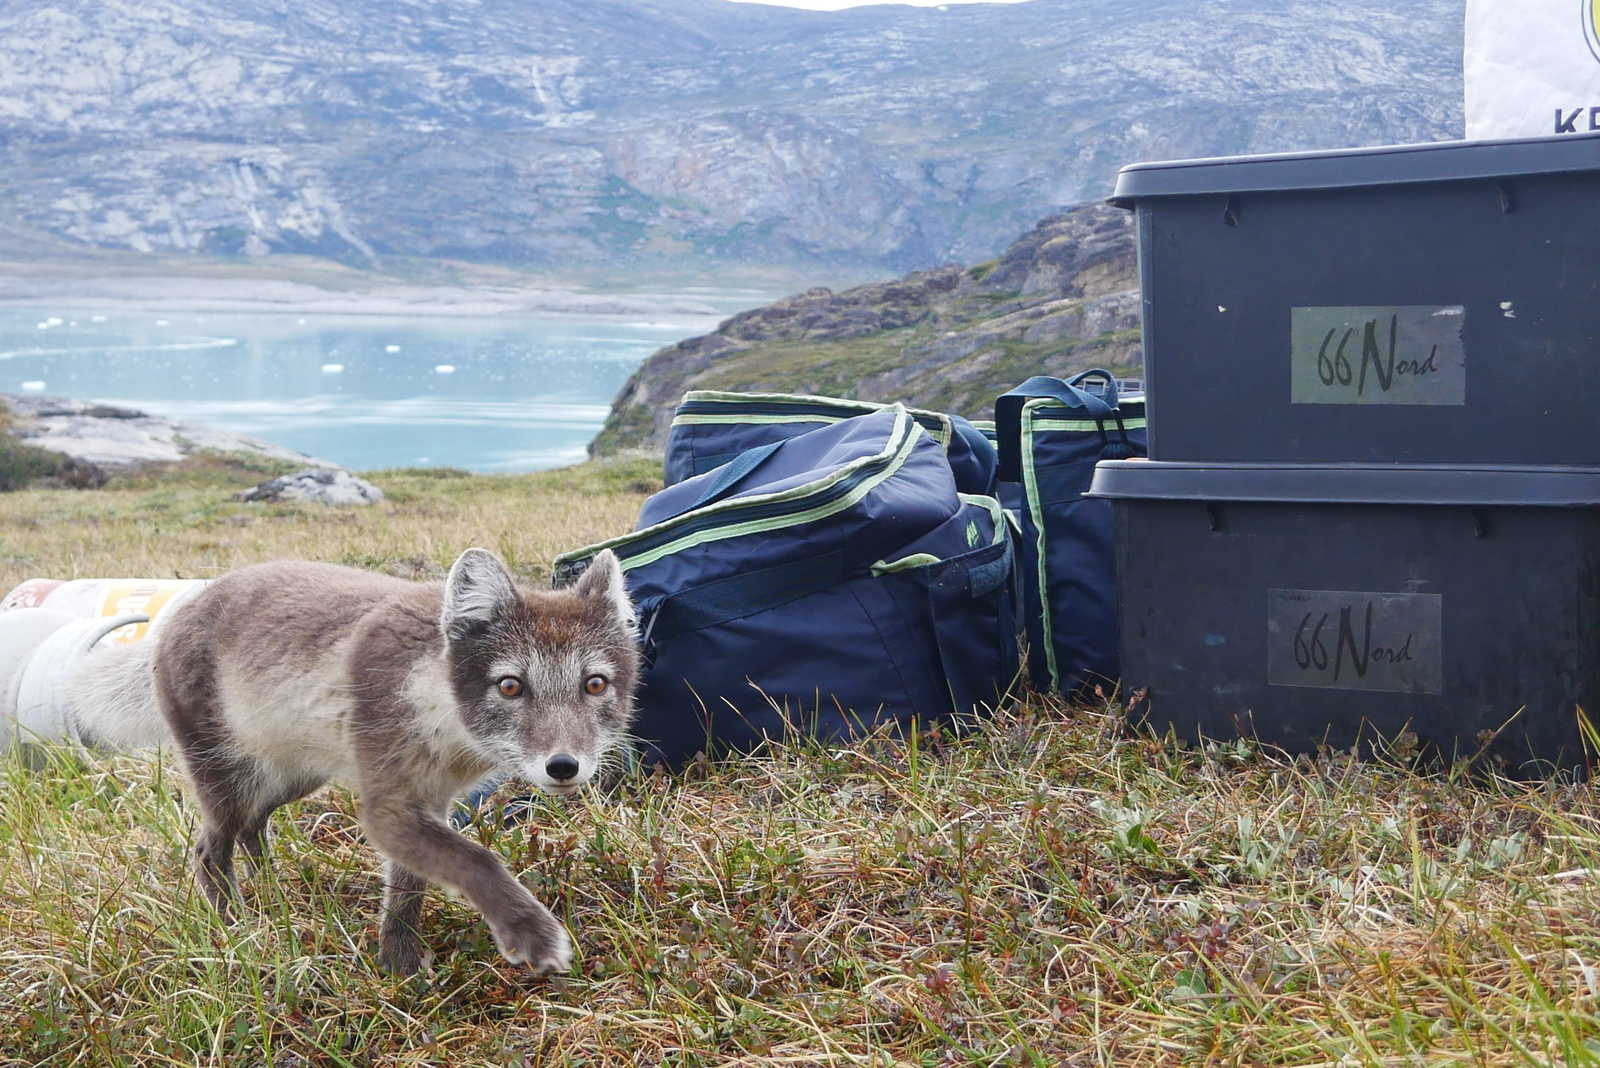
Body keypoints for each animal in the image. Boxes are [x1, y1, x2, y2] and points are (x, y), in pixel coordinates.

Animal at [65, 546, 638, 976]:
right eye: (511, 686)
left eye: (595, 684)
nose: (564, 767)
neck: (439, 709)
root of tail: (172, 618)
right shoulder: (387, 806)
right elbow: (476, 860)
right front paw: (530, 934)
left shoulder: (430, 801)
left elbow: (407, 891)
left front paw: (398, 965)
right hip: (223, 775)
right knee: (210, 847)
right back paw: (236, 926)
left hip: (293, 777)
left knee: (254, 825)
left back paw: (273, 888)